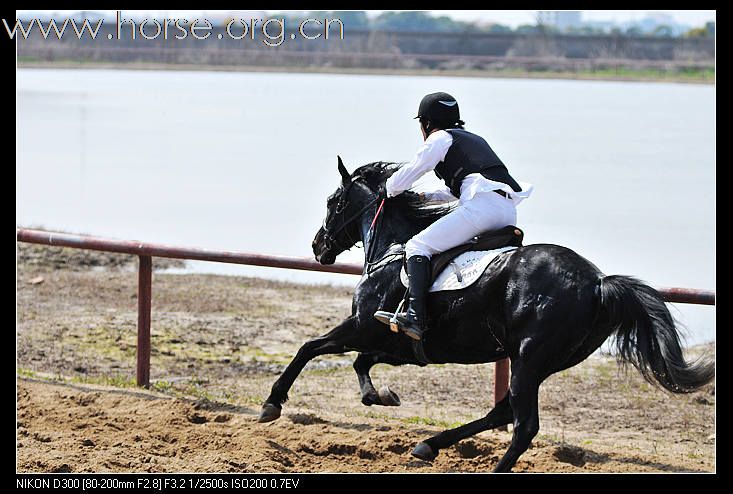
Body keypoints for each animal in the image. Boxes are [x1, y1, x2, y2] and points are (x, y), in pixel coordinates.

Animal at [256, 157, 708, 470]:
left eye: (333, 202)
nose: (319, 247)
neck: (394, 249)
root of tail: (598, 283)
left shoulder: (362, 326)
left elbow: (309, 348)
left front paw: (272, 403)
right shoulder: (400, 346)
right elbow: (361, 364)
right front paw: (378, 395)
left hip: (529, 358)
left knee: (523, 426)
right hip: (542, 362)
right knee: (503, 411)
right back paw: (429, 444)